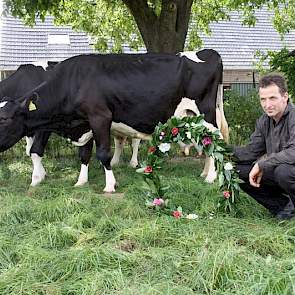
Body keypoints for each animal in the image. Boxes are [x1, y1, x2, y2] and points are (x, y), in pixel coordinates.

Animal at [0, 49, 223, 193]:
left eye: (5, 119)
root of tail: (208, 52)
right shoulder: (85, 122)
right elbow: (84, 154)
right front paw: (81, 182)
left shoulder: (100, 117)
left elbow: (103, 154)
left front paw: (109, 185)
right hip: (192, 117)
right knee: (206, 143)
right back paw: (205, 173)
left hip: (206, 113)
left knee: (215, 139)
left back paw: (211, 177)